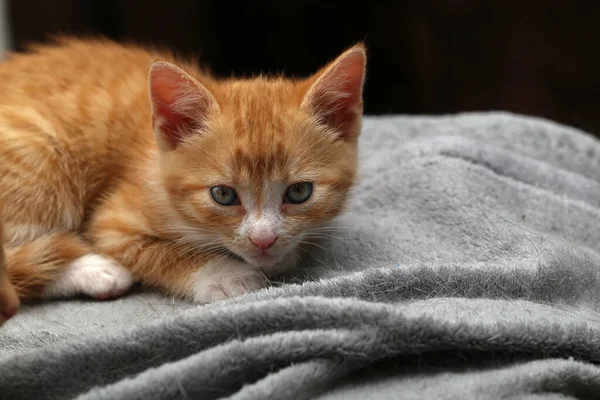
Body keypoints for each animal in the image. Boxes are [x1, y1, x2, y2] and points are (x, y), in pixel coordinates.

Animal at [0, 37, 366, 306]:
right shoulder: (112, 223)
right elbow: (159, 253)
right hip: (40, 157)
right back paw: (96, 270)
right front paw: (224, 275)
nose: (263, 240)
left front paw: (281, 255)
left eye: (299, 192)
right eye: (223, 195)